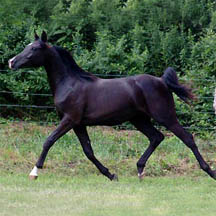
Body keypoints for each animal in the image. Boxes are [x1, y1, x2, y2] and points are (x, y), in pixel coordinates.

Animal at [8, 31, 216, 181]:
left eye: (35, 48)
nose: (11, 62)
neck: (70, 83)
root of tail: (161, 81)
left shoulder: (69, 120)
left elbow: (49, 141)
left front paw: (34, 172)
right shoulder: (78, 124)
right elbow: (88, 151)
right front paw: (110, 174)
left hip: (165, 116)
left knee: (187, 138)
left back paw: (209, 172)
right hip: (139, 119)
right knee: (156, 137)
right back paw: (140, 169)